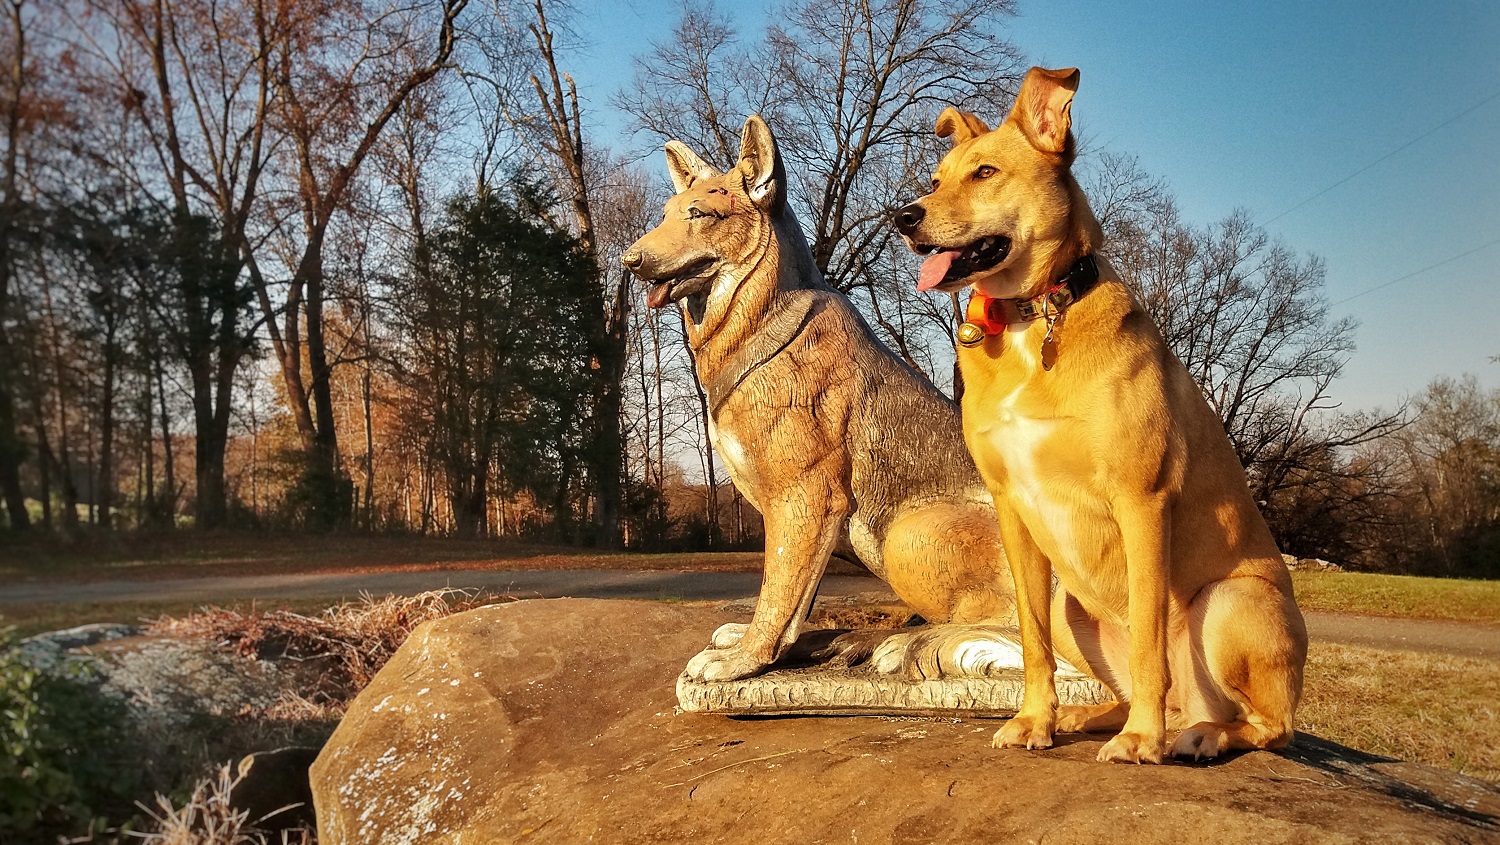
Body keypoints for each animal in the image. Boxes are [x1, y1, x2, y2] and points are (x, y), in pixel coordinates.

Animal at [624, 115, 1032, 684]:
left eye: (701, 214)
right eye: (664, 215)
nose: (629, 260)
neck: (764, 328)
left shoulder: (806, 497)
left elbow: (779, 591)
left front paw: (743, 660)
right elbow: (794, 600)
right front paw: (760, 646)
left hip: (911, 531)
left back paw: (913, 645)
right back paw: (863, 641)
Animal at [894, 69, 1308, 762]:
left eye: (984, 172)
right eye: (934, 178)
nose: (903, 217)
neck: (1033, 320)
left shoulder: (1141, 501)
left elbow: (1147, 642)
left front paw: (1143, 740)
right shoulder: (1012, 509)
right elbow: (1031, 641)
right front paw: (1035, 720)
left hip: (1229, 600)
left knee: (1269, 724)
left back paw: (1197, 735)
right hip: (1072, 607)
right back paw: (1093, 716)